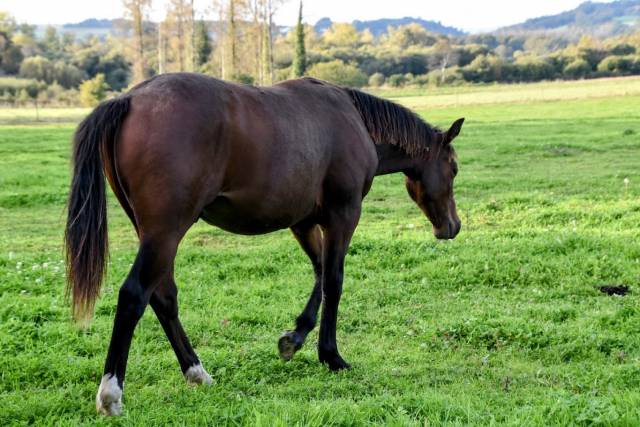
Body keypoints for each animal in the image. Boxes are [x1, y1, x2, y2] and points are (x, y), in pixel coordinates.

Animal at [64, 73, 464, 416]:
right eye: (454, 168)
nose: (453, 226)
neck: (354, 120)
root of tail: (129, 99)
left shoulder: (303, 222)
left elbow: (319, 275)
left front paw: (295, 337)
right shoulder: (343, 215)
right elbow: (333, 281)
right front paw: (331, 355)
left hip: (155, 235)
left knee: (162, 297)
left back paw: (196, 371)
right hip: (165, 233)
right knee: (134, 295)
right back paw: (111, 393)